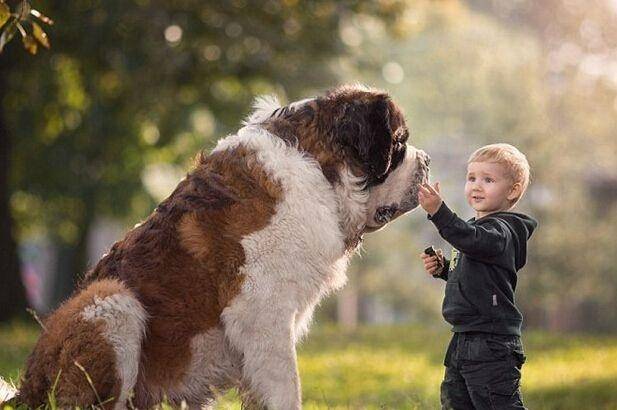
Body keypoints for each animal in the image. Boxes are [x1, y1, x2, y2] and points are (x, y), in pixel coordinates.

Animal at [14, 84, 428, 410]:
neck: (318, 167)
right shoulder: (262, 312)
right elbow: (286, 386)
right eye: (400, 142)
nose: (426, 160)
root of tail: (25, 388)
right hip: (111, 301)